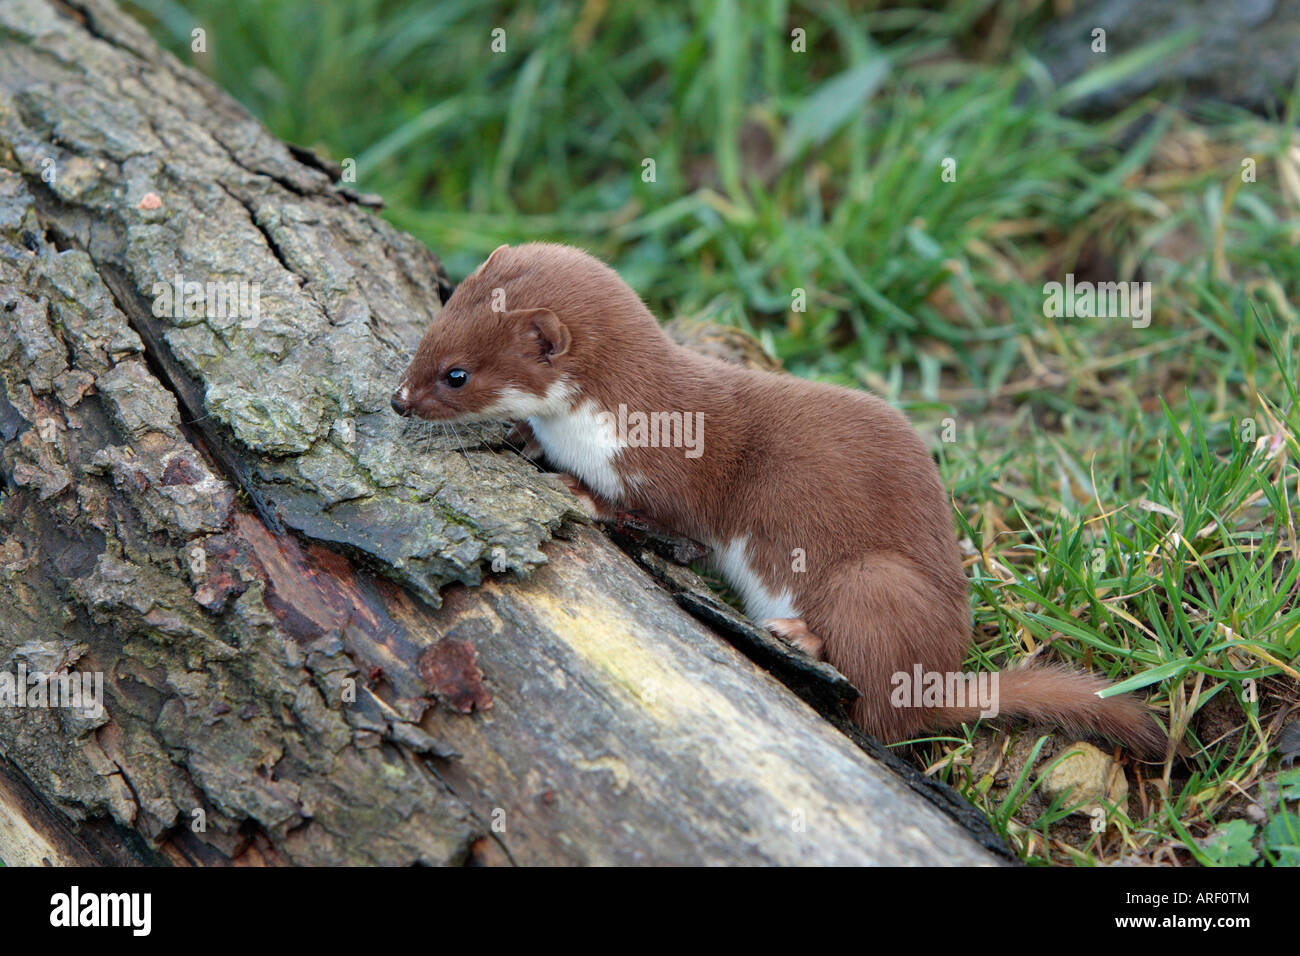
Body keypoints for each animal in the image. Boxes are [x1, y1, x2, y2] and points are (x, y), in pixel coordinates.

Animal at [390, 240, 1164, 754]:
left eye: (457, 374)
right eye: (431, 327)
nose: (398, 400)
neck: (599, 421)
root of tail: (943, 674)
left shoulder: (673, 469)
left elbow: (669, 518)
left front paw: (577, 490)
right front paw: (524, 438)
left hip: (875, 579)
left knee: (877, 694)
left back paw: (799, 633)